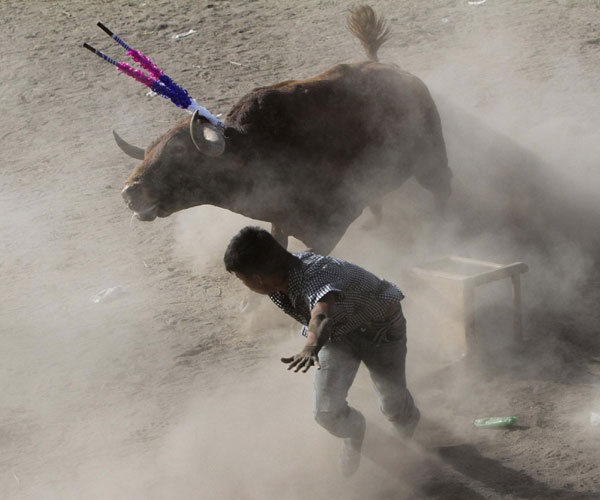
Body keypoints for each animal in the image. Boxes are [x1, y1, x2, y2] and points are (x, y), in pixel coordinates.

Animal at [119, 5, 452, 252]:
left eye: (178, 154)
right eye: (148, 152)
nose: (129, 193)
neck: (255, 148)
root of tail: (401, 74)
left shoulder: (327, 230)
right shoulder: (281, 225)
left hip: (430, 162)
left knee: (442, 188)